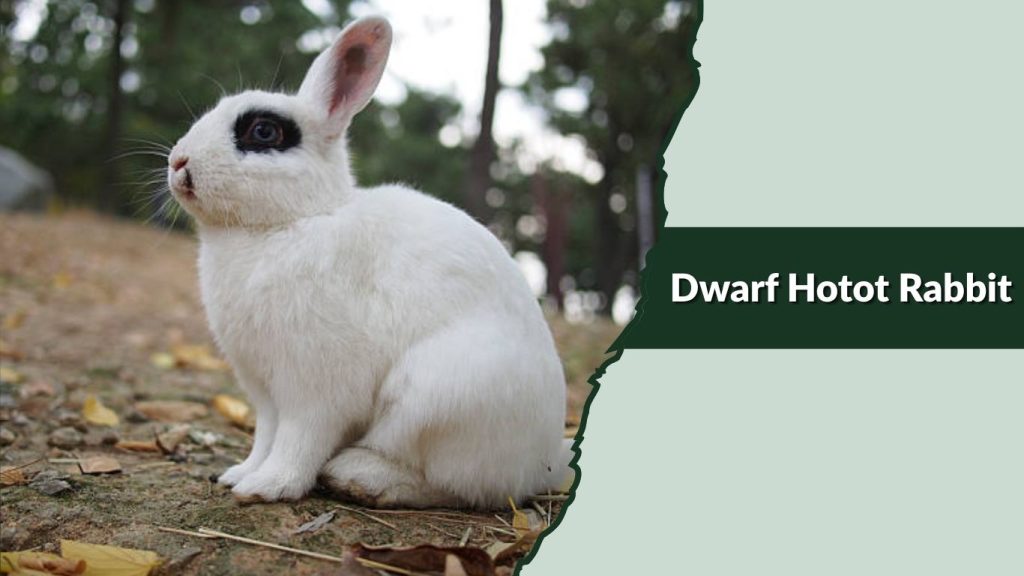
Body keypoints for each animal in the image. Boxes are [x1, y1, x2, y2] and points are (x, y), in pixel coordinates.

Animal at [165, 17, 573, 509]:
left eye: (263, 132)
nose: (178, 161)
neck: (292, 221)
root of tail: (546, 458)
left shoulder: (315, 388)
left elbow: (299, 439)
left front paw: (269, 486)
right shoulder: (264, 392)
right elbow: (265, 435)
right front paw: (240, 473)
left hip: (435, 396)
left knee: (454, 484)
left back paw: (360, 476)